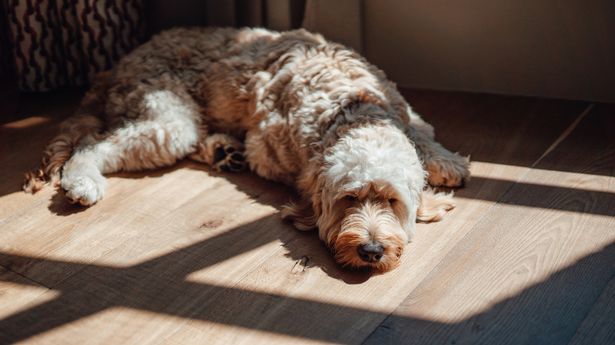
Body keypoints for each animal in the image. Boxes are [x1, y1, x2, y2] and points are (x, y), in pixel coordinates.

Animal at [21, 27, 470, 272]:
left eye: (392, 201)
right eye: (348, 199)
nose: (372, 250)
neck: (353, 110)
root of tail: (118, 64)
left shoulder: (400, 107)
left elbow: (423, 131)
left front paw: (446, 162)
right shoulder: (266, 149)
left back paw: (223, 150)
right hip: (167, 120)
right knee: (93, 144)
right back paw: (82, 180)